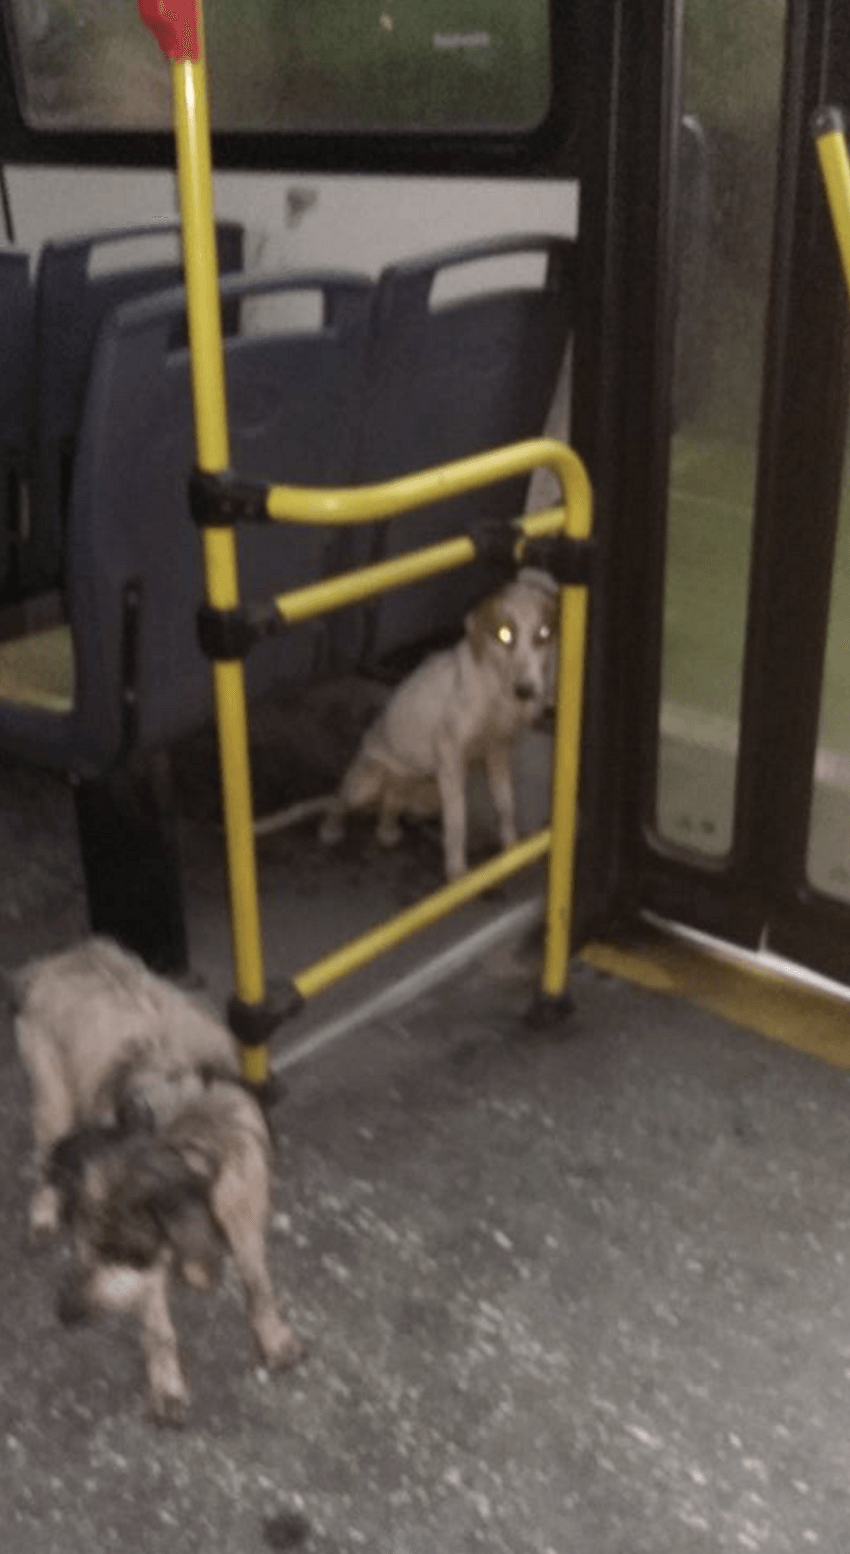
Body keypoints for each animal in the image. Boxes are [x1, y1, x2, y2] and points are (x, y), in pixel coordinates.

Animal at [13, 938, 303, 1423]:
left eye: (123, 1253)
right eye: (86, 1247)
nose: (66, 1315)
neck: (187, 1141)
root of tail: (63, 957)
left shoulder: (244, 1215)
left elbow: (257, 1283)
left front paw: (273, 1336)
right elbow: (158, 1328)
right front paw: (166, 1383)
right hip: (53, 1094)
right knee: (46, 1154)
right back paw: (44, 1211)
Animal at [253, 571, 559, 888]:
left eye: (544, 634)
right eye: (504, 634)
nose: (526, 691)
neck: (496, 685)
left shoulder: (498, 750)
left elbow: (505, 805)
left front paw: (512, 850)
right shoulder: (450, 755)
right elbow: (457, 821)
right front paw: (458, 872)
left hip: (427, 794)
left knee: (389, 808)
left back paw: (388, 831)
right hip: (365, 783)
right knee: (338, 801)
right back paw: (331, 830)